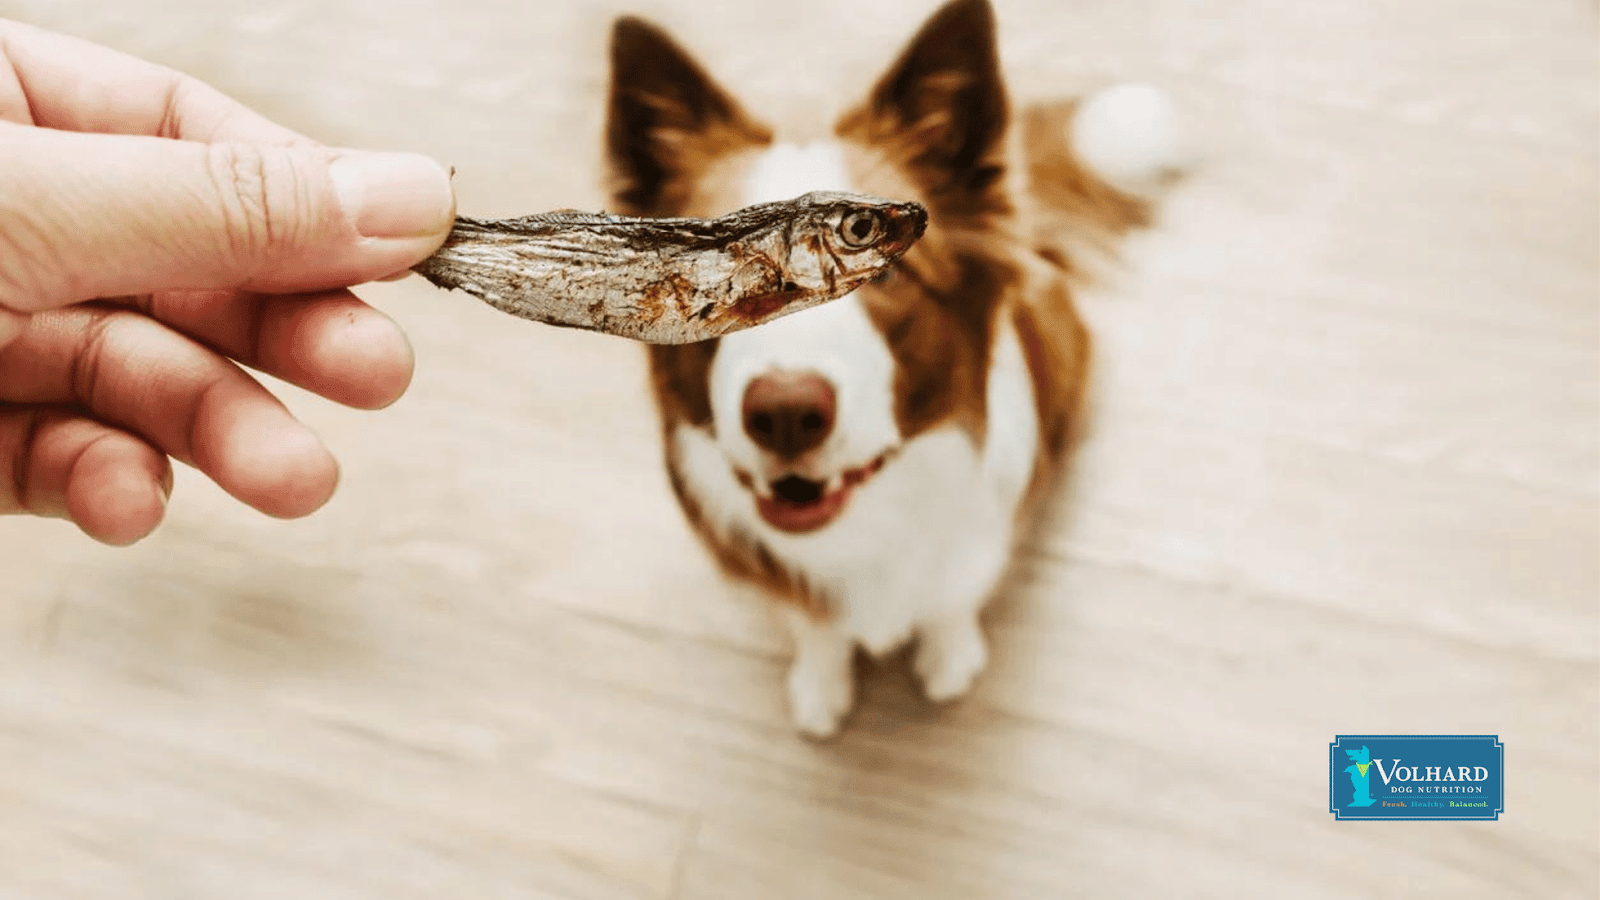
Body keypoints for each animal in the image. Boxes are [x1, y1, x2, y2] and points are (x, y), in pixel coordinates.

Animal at [604, 0, 1184, 733]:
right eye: (714, 274)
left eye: (882, 271)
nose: (785, 414)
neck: (866, 515)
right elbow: (817, 626)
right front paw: (821, 681)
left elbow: (953, 600)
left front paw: (950, 657)